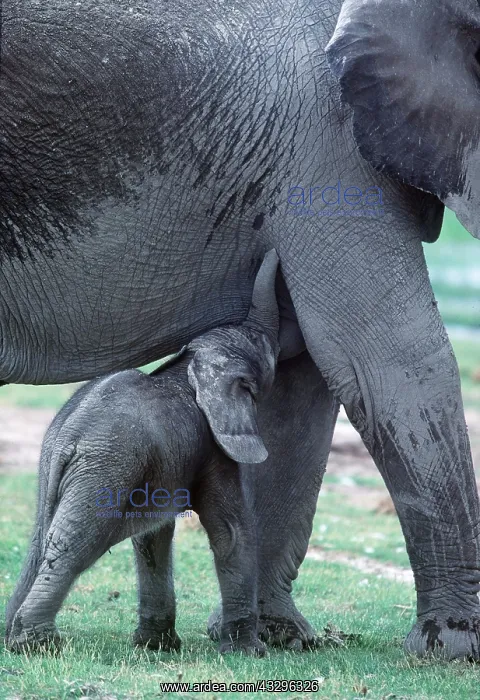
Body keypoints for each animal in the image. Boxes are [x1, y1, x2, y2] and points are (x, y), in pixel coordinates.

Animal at [5, 252, 280, 656]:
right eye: (267, 352)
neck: (191, 366)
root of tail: (68, 436)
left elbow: (152, 537)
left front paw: (157, 646)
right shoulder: (214, 447)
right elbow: (231, 532)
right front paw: (249, 653)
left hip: (57, 471)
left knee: (43, 538)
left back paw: (14, 636)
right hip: (103, 471)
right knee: (75, 543)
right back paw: (39, 644)